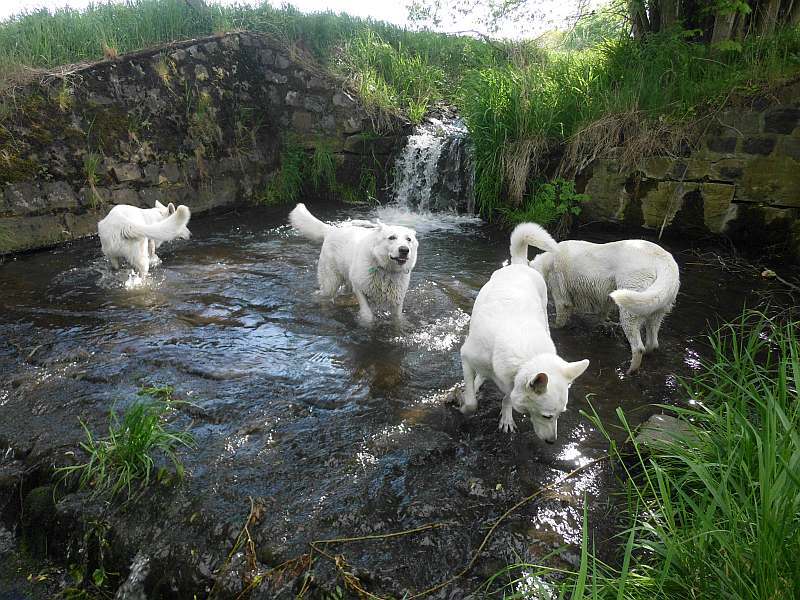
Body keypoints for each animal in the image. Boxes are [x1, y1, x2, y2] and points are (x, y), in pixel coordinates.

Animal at [290, 202, 422, 326]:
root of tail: (332, 229)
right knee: (322, 294)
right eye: (392, 237)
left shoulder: (397, 298)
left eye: (409, 239)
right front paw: (366, 323)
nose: (404, 250)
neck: (385, 269)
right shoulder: (359, 287)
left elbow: (398, 318)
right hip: (330, 283)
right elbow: (367, 314)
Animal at [456, 227, 588, 442]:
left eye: (561, 414)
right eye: (547, 416)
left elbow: (507, 399)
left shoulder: (512, 383)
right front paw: (465, 408)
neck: (526, 357)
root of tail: (519, 264)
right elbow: (471, 401)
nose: (552, 442)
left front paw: (507, 418)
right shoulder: (466, 356)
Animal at [512, 223, 680, 372]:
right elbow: (602, 314)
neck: (548, 261)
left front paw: (555, 327)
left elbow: (561, 316)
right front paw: (604, 325)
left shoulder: (561, 295)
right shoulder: (604, 298)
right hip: (656, 307)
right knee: (652, 342)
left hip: (631, 304)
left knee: (638, 347)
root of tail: (666, 262)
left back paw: (630, 370)